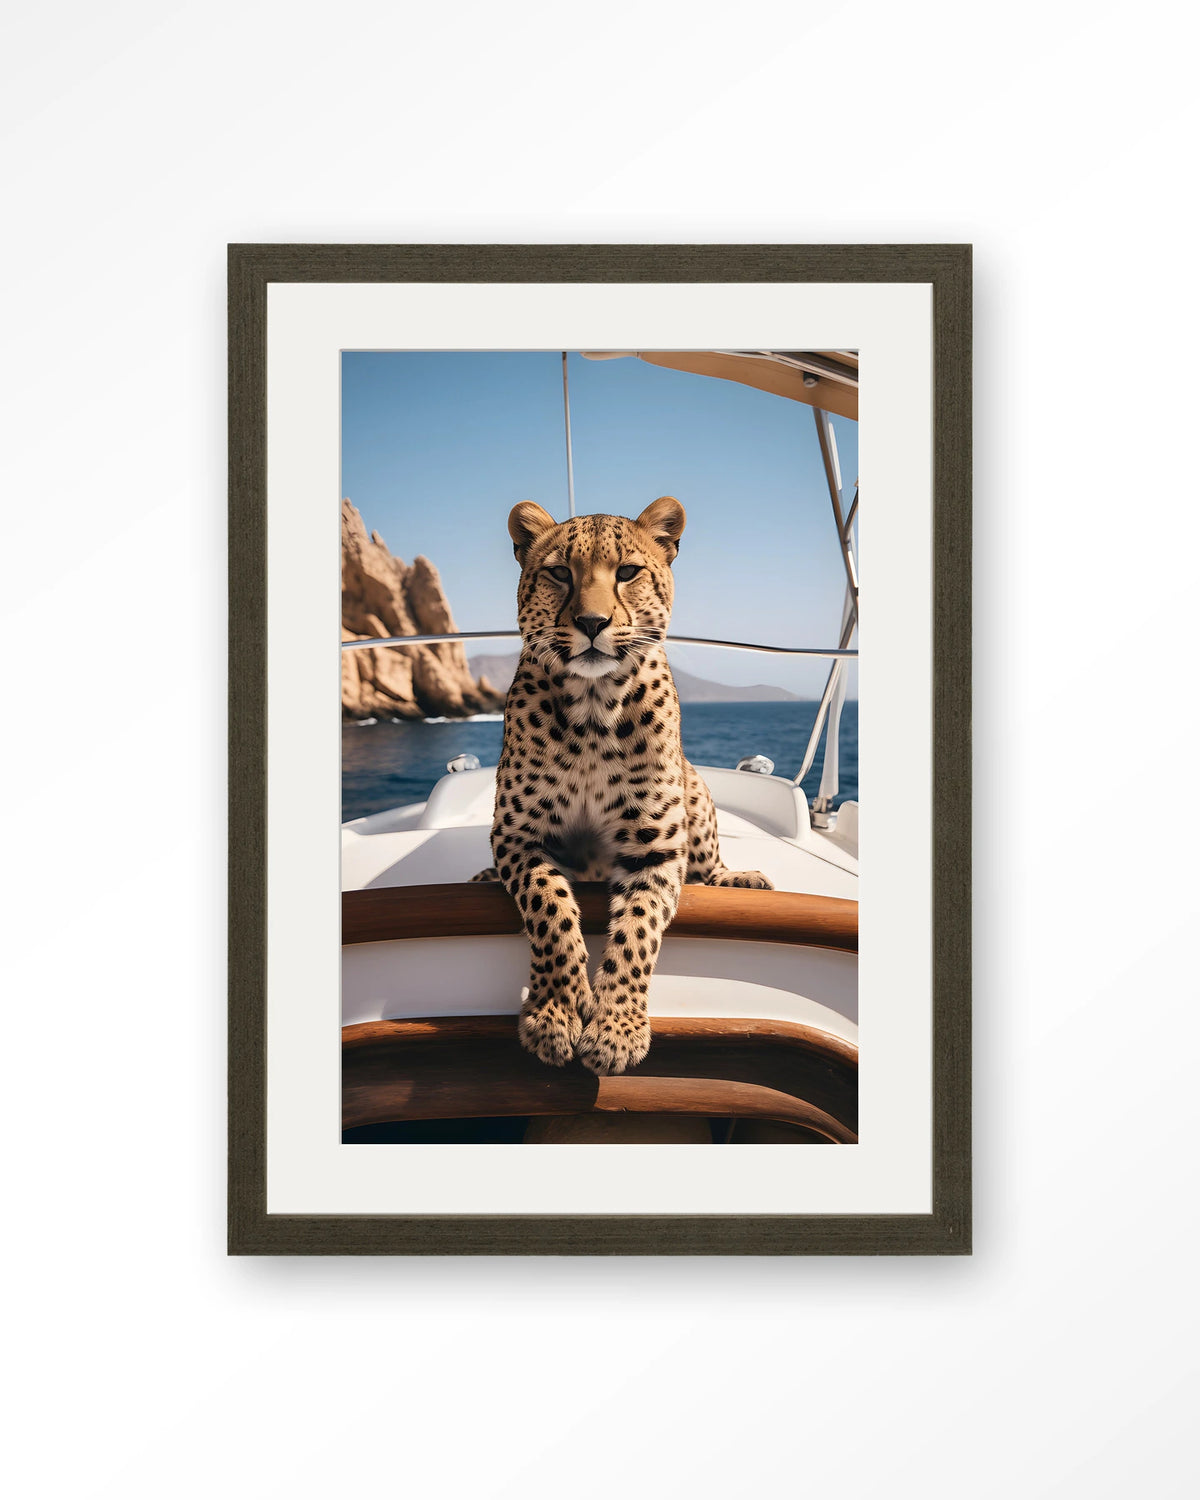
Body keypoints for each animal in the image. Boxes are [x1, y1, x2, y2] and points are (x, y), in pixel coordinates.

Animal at [470, 496, 772, 1077]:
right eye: (560, 573)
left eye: (628, 572)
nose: (592, 622)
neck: (593, 709)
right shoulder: (518, 835)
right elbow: (550, 908)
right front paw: (557, 1012)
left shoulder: (655, 848)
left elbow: (637, 932)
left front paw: (616, 1029)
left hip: (696, 790)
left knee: (708, 865)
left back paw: (738, 879)